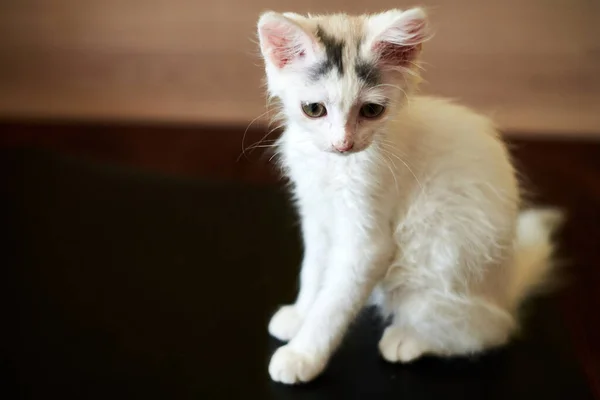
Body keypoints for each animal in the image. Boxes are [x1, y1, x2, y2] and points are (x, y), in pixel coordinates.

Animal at [256, 8, 564, 384]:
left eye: (371, 111)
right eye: (314, 109)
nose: (343, 143)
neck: (332, 166)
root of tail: (505, 290)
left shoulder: (368, 245)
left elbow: (333, 305)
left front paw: (303, 355)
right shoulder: (317, 216)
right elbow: (312, 271)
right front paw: (300, 315)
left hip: (436, 260)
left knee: (492, 329)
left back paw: (409, 339)